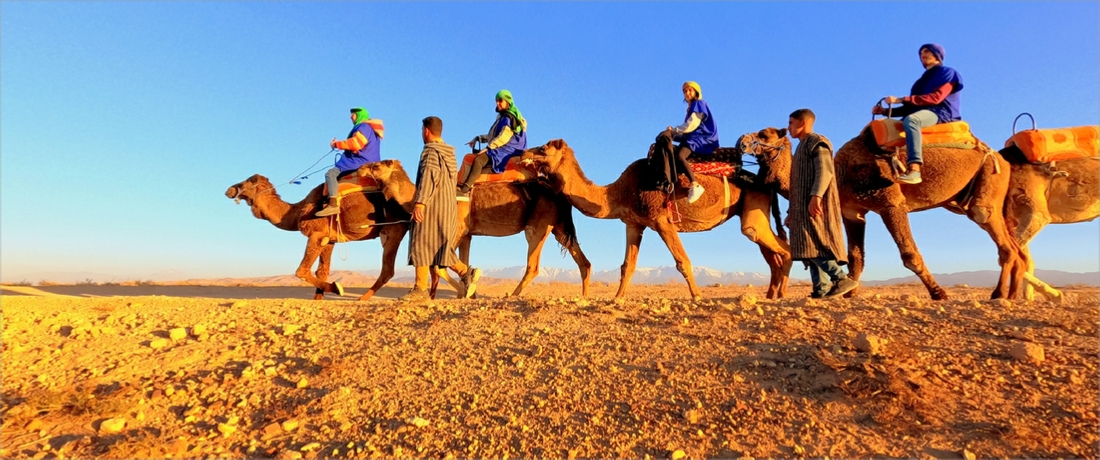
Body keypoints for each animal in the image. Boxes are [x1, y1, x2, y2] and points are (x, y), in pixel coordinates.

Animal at [224, 173, 409, 299]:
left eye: (246, 181)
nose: (229, 190)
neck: (298, 212)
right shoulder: (330, 240)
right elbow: (322, 271)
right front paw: (319, 298)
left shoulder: (316, 234)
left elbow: (301, 271)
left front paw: (337, 288)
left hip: (393, 229)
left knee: (387, 270)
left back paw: (362, 298)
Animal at [360, 159, 594, 299]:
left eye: (377, 166)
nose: (360, 168)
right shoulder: (467, 235)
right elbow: (461, 262)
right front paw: (467, 291)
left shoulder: (456, 231)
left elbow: (441, 266)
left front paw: (467, 292)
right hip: (558, 227)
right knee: (583, 261)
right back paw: (584, 297)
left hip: (538, 225)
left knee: (533, 266)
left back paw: (512, 295)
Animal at [517, 138, 792, 299]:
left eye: (543, 148)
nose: (522, 153)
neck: (619, 191)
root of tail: (764, 183)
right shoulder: (634, 223)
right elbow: (627, 265)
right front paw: (616, 299)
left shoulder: (661, 219)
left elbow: (682, 261)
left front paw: (697, 297)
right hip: (753, 211)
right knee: (773, 251)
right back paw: (773, 295)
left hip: (753, 211)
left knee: (780, 247)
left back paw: (782, 295)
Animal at [827, 126, 1025, 299]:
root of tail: (1003, 159)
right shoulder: (852, 211)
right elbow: (856, 256)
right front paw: (849, 293)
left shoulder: (891, 203)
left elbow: (909, 254)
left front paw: (938, 292)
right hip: (962, 200)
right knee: (1015, 247)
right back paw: (1013, 295)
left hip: (991, 175)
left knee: (996, 232)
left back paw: (999, 294)